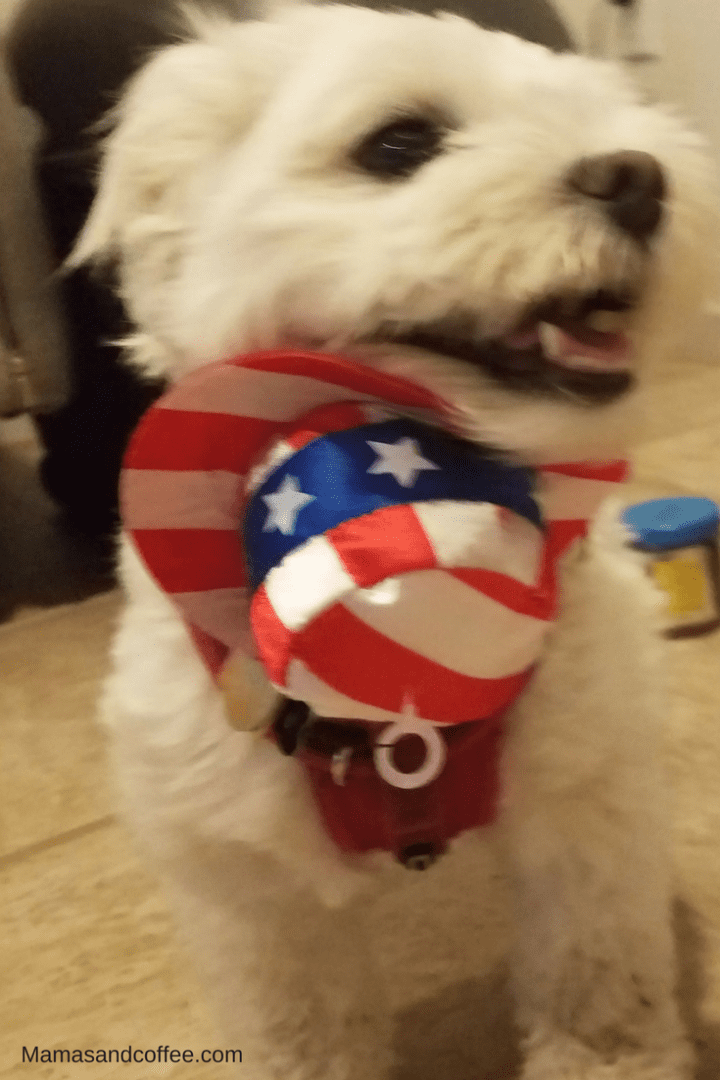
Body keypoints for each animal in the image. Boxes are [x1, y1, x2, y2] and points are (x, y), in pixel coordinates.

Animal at [73, 4, 716, 1075]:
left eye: (620, 116)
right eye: (398, 144)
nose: (639, 176)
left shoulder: (584, 824)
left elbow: (597, 998)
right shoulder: (253, 891)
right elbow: (301, 1035)